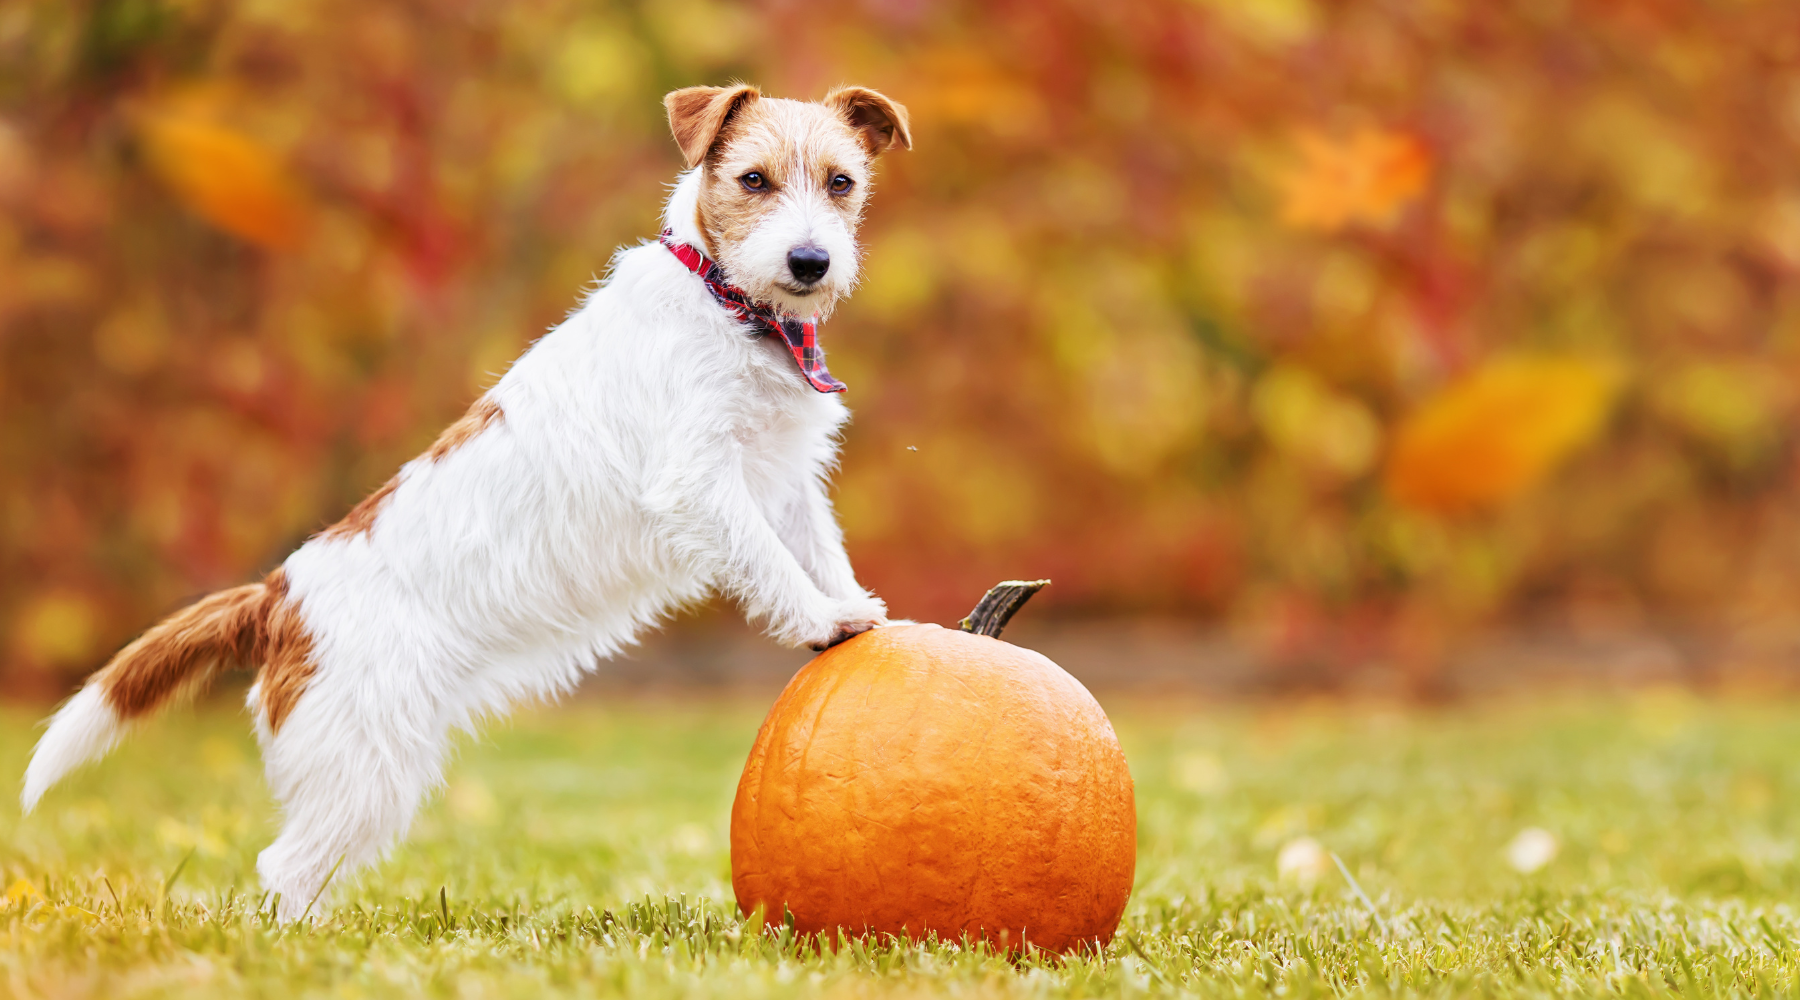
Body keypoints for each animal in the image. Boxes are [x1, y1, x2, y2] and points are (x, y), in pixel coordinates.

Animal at [21, 85, 907, 920]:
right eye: (753, 179)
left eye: (841, 182)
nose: (810, 261)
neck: (730, 305)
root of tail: (278, 595)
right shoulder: (700, 483)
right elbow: (770, 562)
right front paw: (825, 620)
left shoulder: (783, 481)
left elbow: (817, 551)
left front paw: (862, 613)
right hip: (364, 768)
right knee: (286, 871)